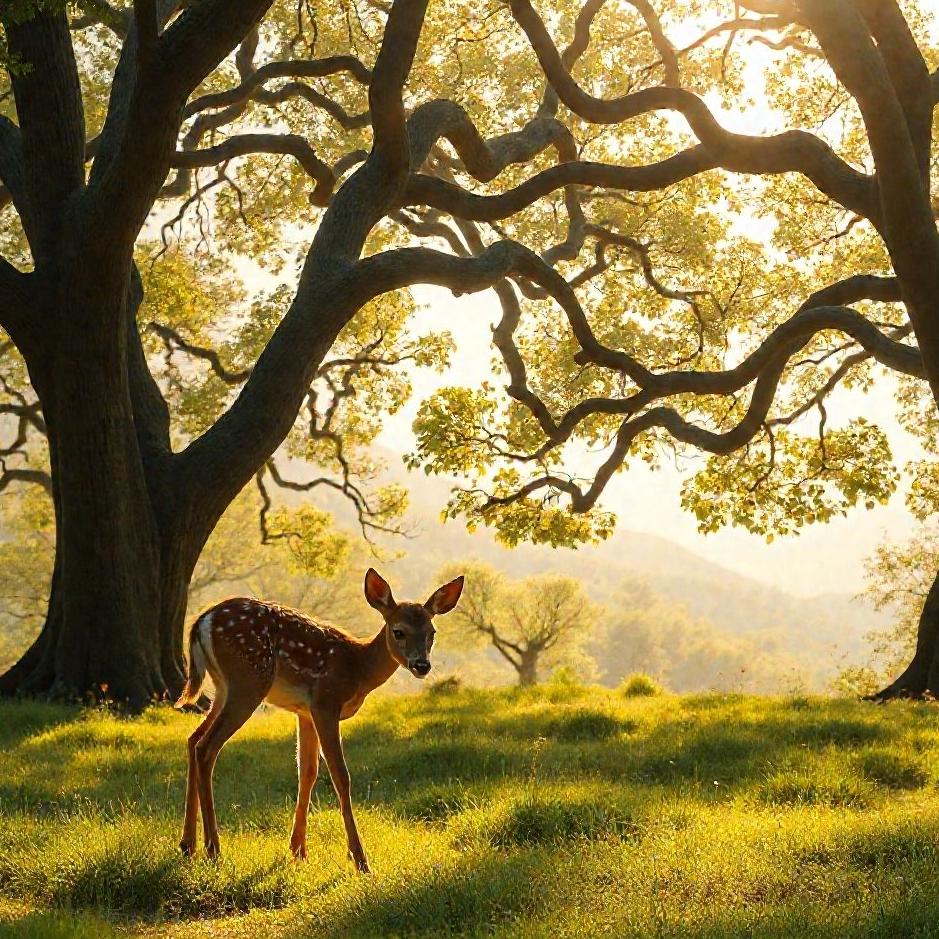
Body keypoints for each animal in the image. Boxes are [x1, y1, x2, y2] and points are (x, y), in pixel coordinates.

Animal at [175, 568, 464, 872]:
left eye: (432, 632)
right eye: (399, 631)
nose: (422, 665)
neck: (358, 668)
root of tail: (202, 622)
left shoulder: (305, 711)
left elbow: (308, 772)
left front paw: (298, 850)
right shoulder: (326, 702)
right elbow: (340, 775)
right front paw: (359, 859)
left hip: (223, 687)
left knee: (193, 739)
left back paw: (187, 844)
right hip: (248, 680)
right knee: (206, 748)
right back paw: (213, 849)